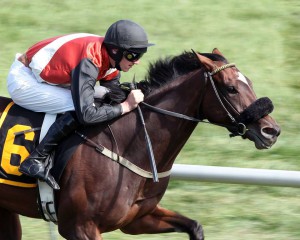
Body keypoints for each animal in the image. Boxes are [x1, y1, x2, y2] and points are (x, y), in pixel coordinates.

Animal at [0, 47, 280, 239]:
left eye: (250, 83)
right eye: (231, 88)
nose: (271, 130)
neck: (128, 145)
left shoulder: (137, 219)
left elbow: (195, 227)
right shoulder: (79, 227)